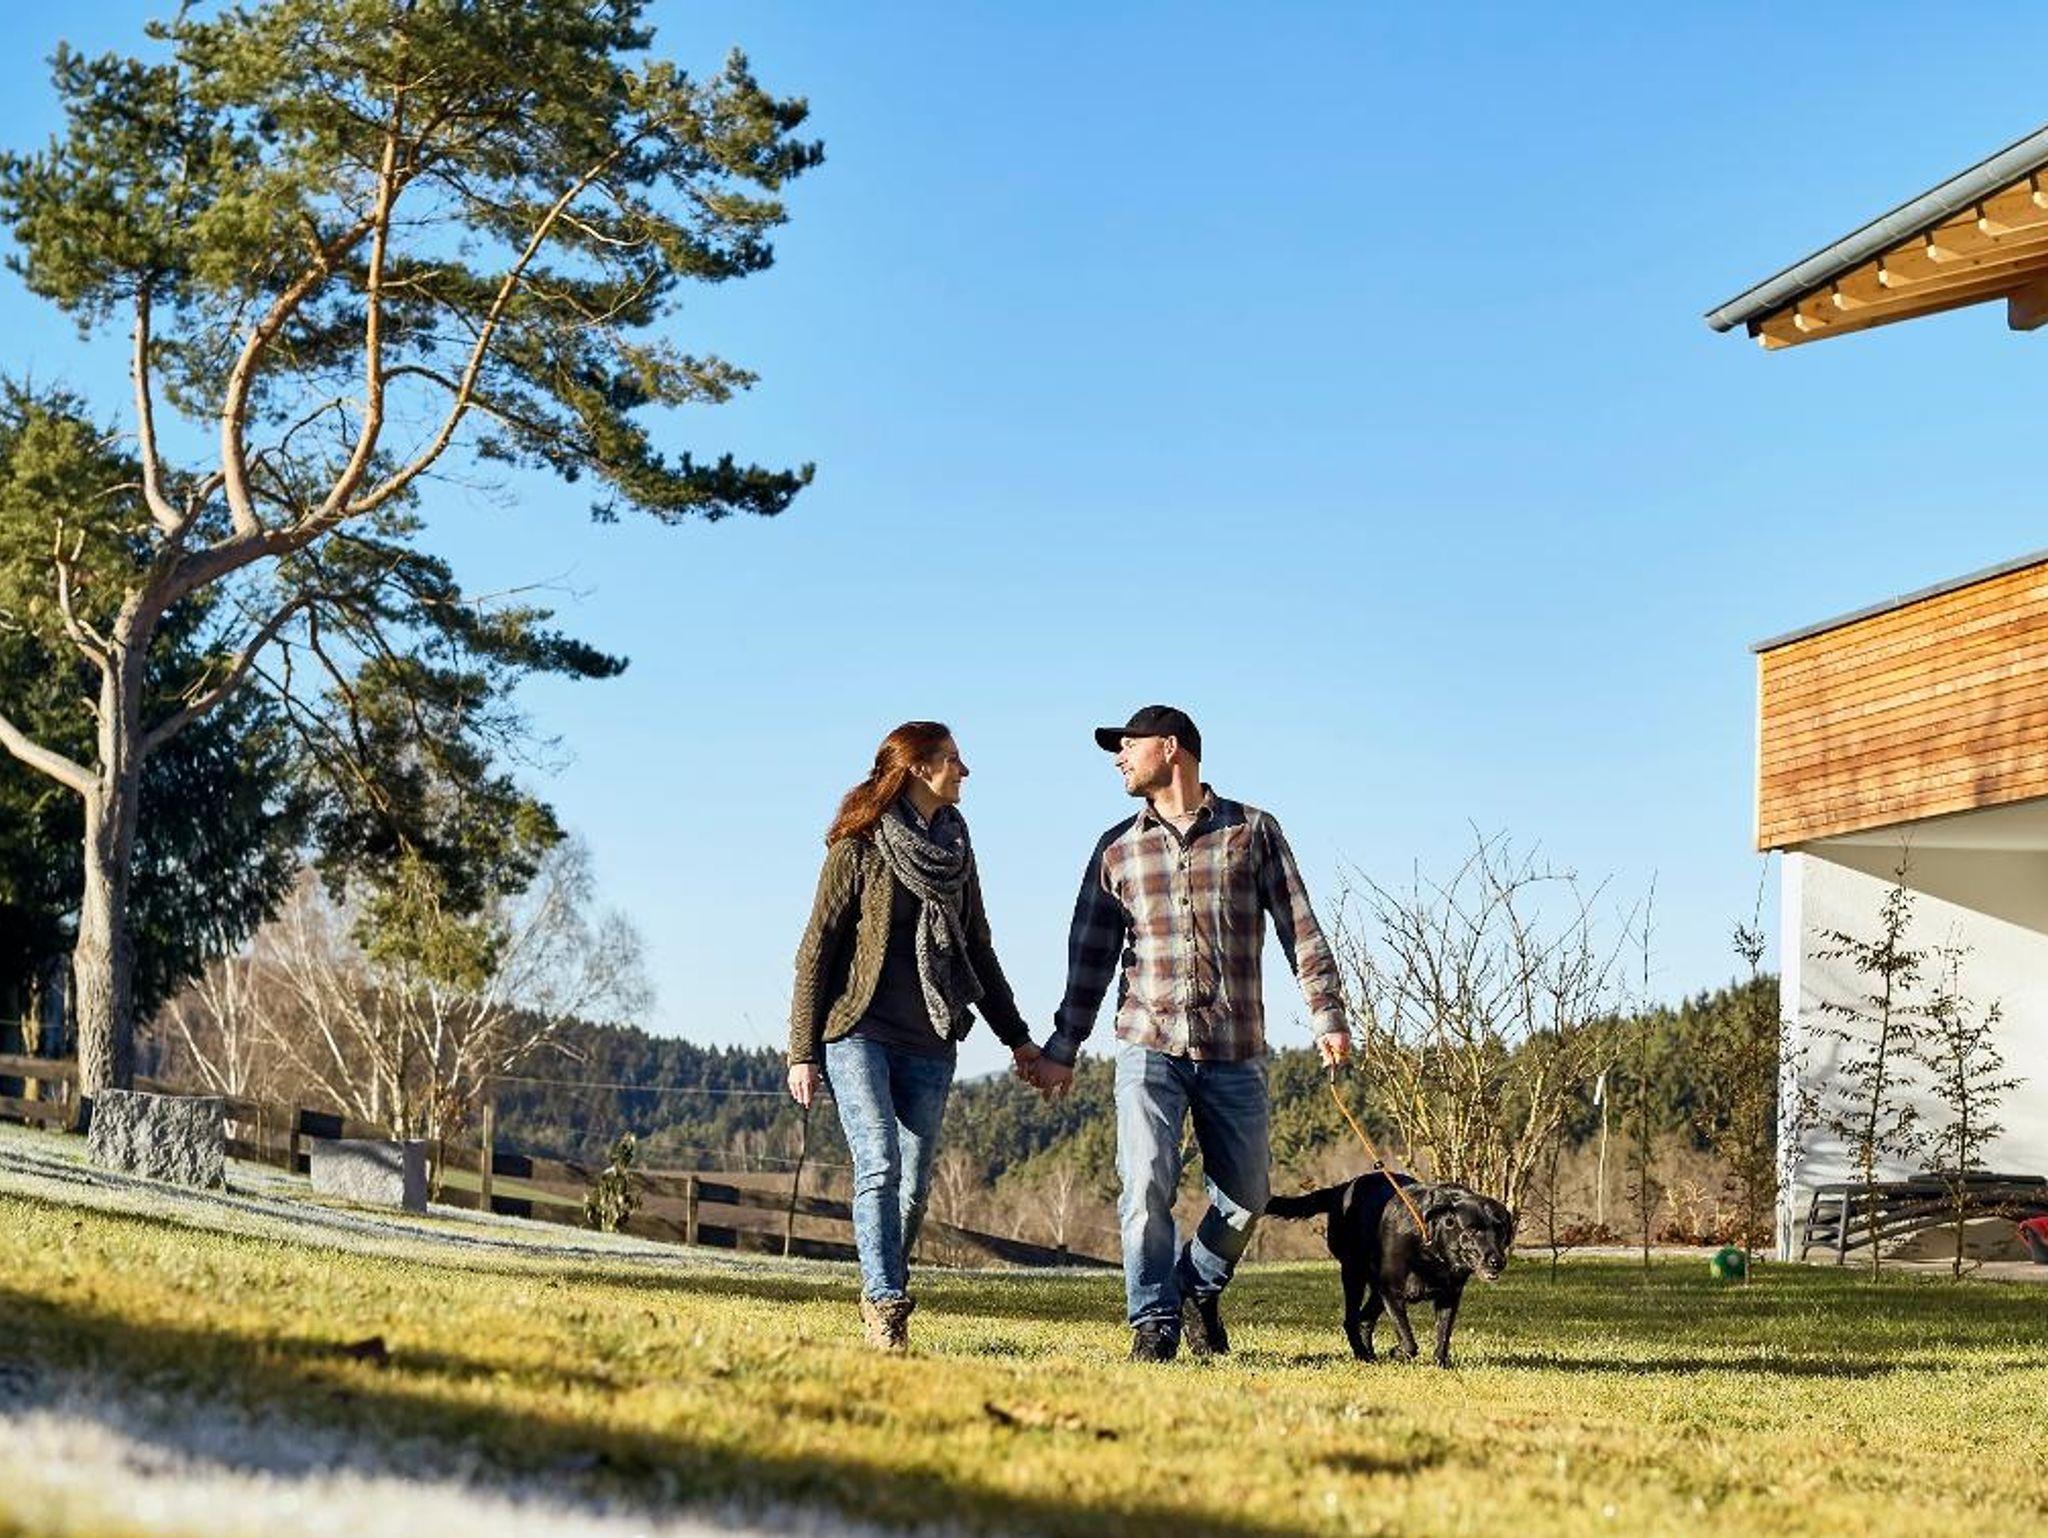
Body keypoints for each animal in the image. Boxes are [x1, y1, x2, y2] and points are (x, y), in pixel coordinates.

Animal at [1265, 1173, 1515, 1367]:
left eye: (1501, 1229)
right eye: (1472, 1231)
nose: (1497, 1261)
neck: (1430, 1247)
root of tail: (1344, 1187)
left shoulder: (1449, 1296)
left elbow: (1443, 1335)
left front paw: (1441, 1365)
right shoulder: (1391, 1291)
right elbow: (1409, 1341)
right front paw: (1397, 1353)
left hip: (1376, 1290)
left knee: (1364, 1319)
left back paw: (1370, 1355)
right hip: (1354, 1273)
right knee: (1351, 1319)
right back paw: (1363, 1356)